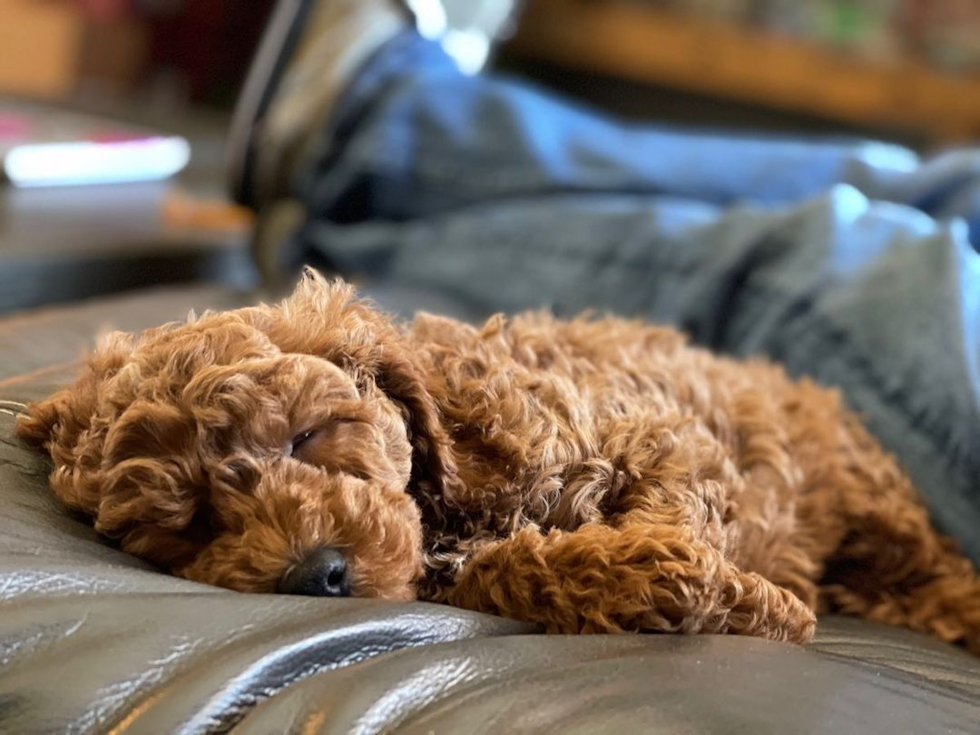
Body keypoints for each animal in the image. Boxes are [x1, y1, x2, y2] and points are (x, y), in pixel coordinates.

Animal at [15, 268, 980, 652]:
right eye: (190, 523)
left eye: (308, 436)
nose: (316, 573)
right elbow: (512, 568)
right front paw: (645, 580)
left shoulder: (661, 437)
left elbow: (675, 516)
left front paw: (711, 586)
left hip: (869, 496)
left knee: (929, 564)